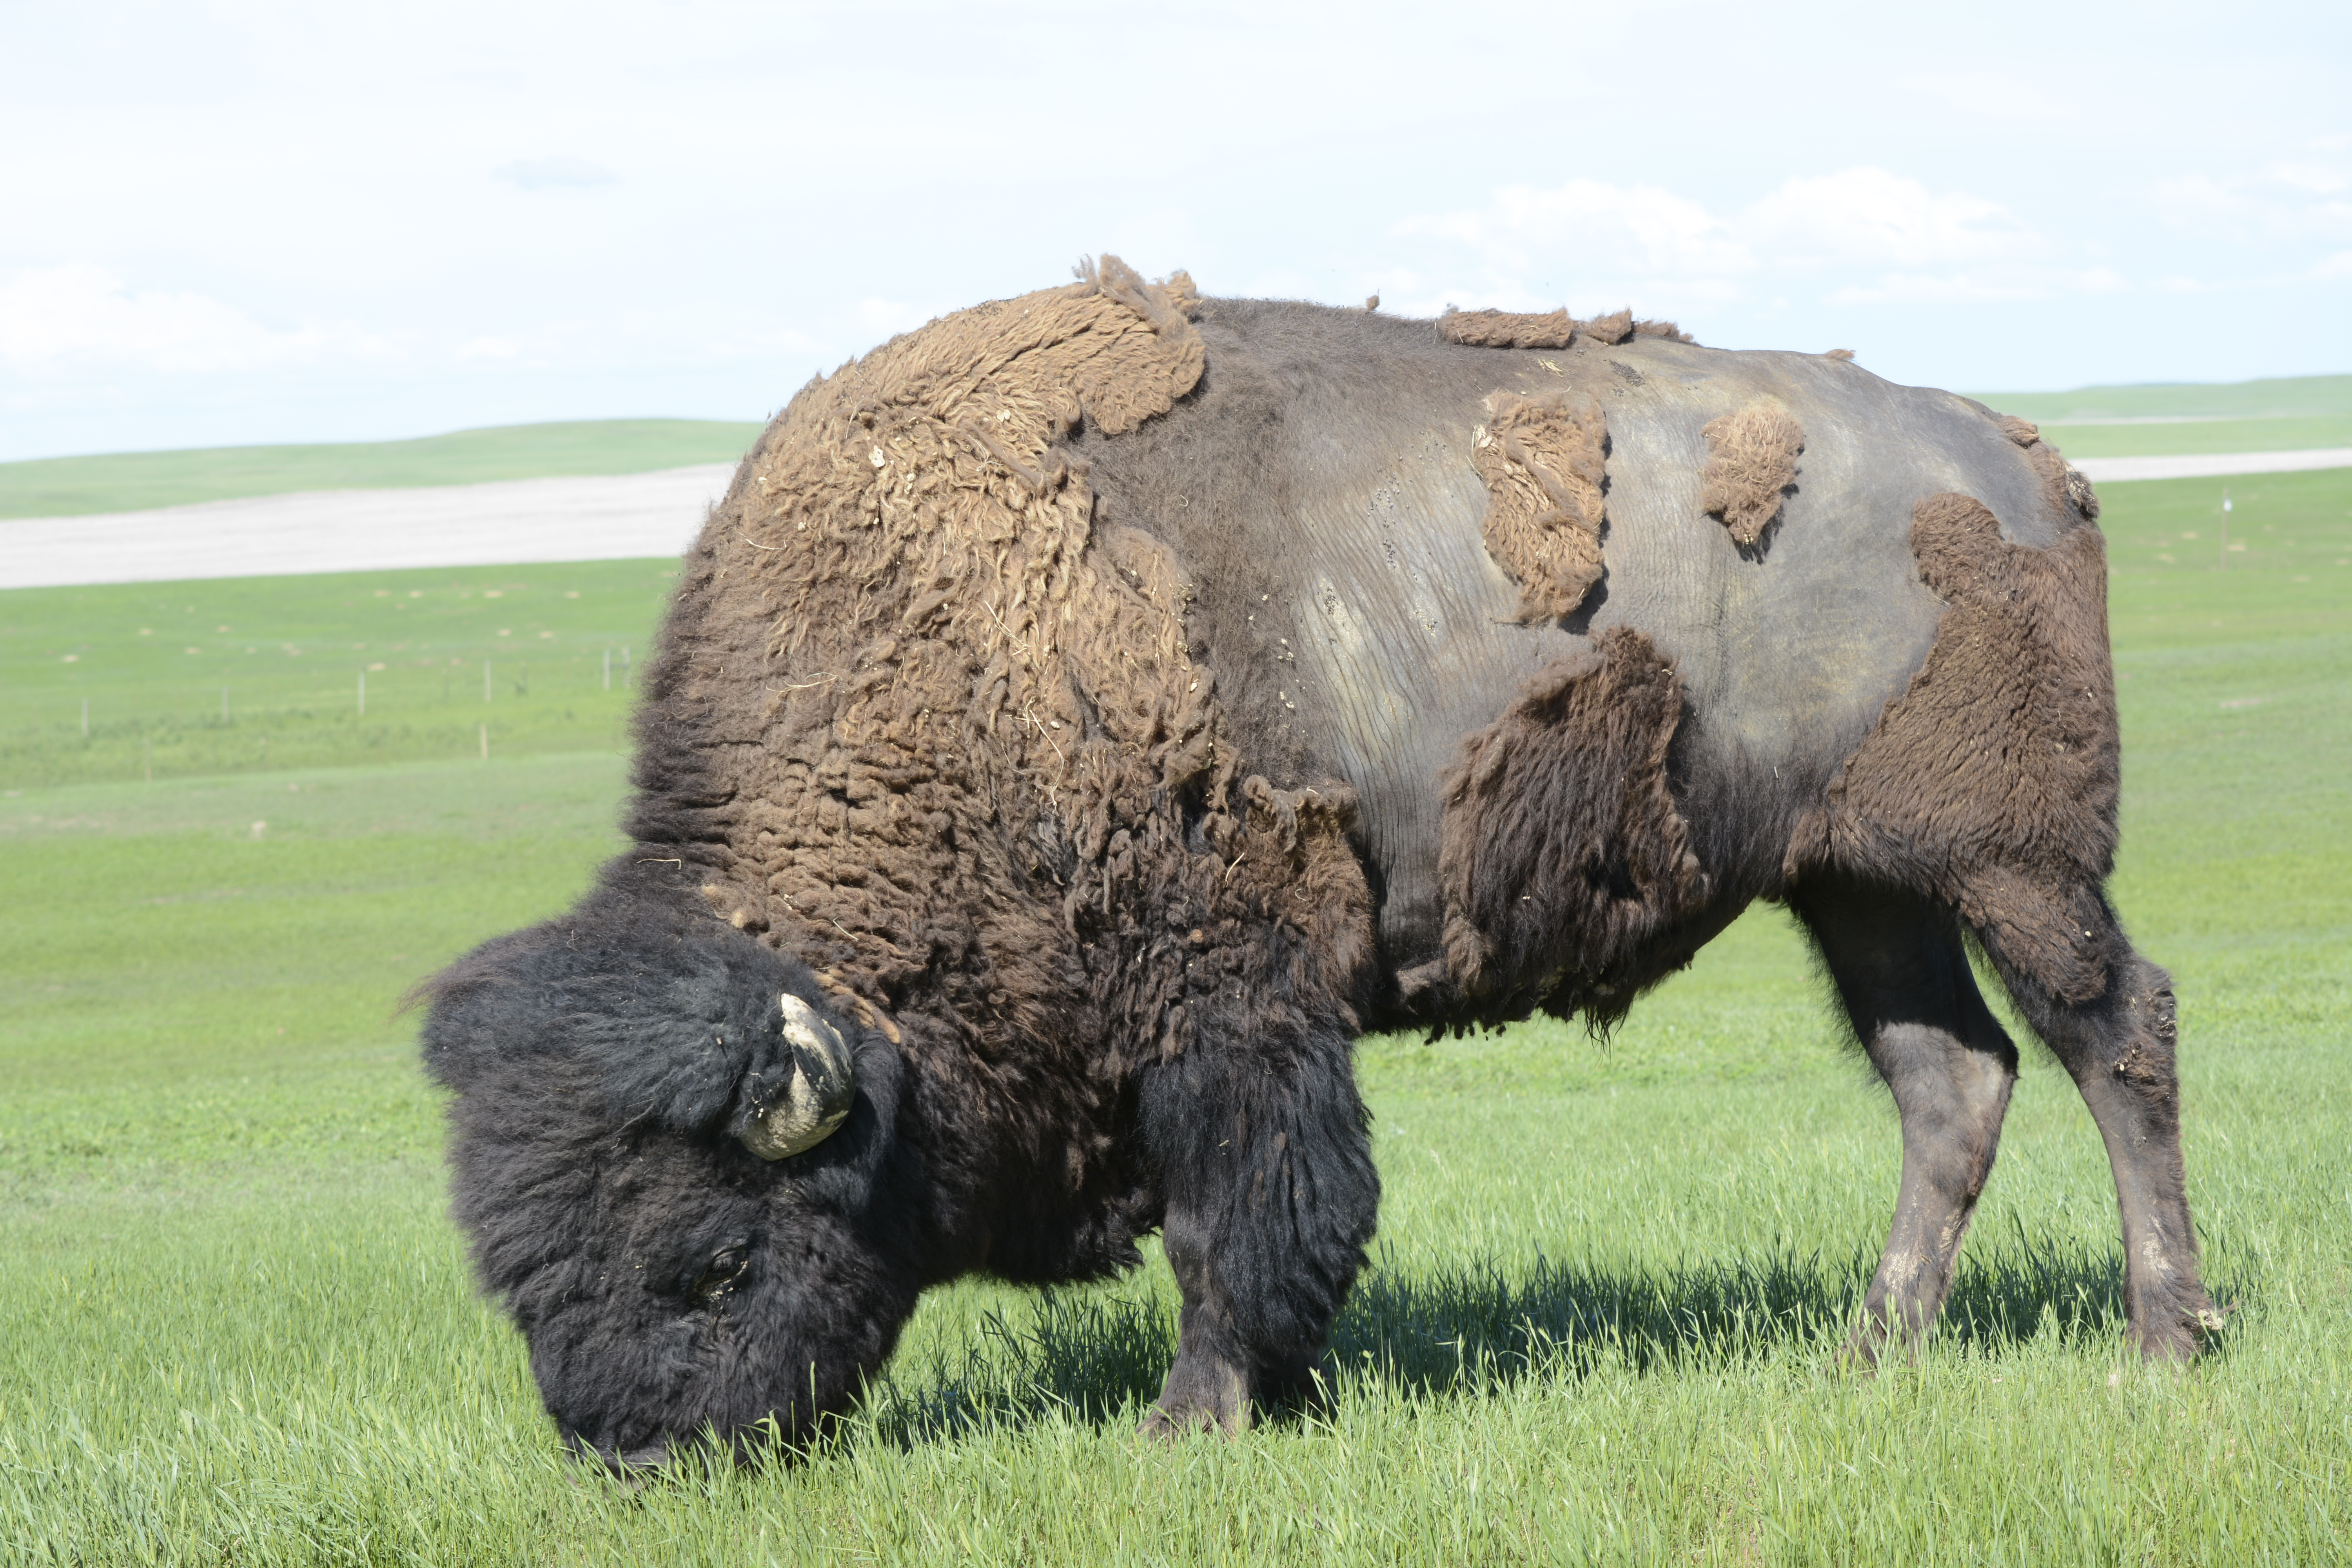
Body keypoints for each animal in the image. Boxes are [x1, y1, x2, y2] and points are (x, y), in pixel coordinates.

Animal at [419, 261, 2201, 1476]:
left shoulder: (1234, 1005)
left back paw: (2166, 1338)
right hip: (1858, 884)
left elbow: (1247, 1215)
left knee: (2115, 1035)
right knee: (1950, 1079)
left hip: (2013, 860)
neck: (963, 657)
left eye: (715, 1259)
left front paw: (1193, 1416)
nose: (637, 1461)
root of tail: (2021, 459)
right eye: (513, 1280)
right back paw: (1868, 1351)